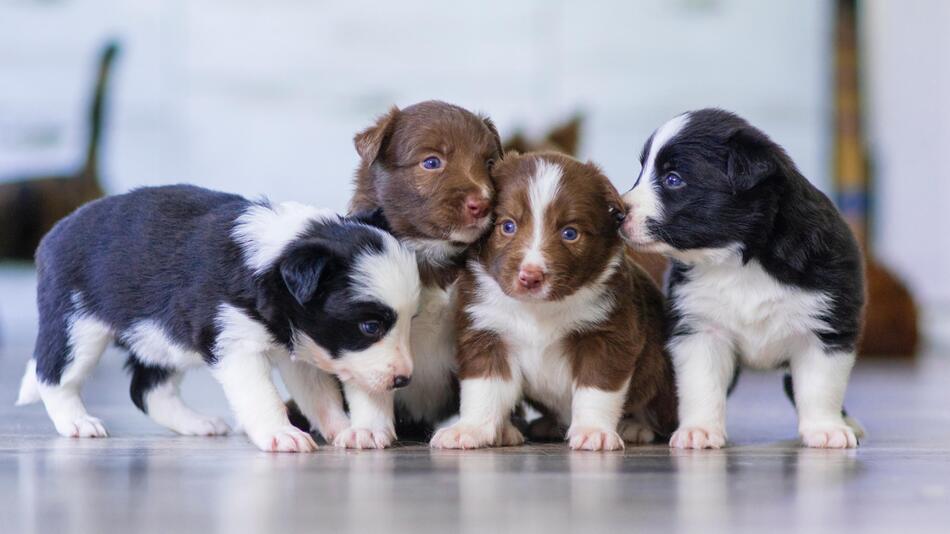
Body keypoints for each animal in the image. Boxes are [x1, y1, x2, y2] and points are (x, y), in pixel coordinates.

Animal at [13, 184, 424, 452]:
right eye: (370, 327)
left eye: (412, 320)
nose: (404, 379)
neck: (274, 260)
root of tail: (55, 232)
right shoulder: (236, 345)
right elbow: (262, 396)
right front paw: (281, 434)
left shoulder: (301, 347)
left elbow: (319, 395)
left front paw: (345, 430)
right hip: (77, 323)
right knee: (54, 375)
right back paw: (77, 422)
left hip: (160, 337)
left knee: (147, 390)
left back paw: (197, 423)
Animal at [428, 154, 680, 452]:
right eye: (508, 226)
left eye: (570, 233)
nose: (530, 277)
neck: (538, 308)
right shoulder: (486, 332)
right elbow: (483, 387)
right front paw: (469, 429)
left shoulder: (607, 334)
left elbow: (596, 389)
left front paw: (593, 431)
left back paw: (635, 427)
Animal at [620, 110, 868, 452]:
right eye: (641, 171)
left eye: (673, 179)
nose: (617, 212)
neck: (738, 260)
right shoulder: (700, 329)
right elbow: (701, 384)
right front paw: (699, 430)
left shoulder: (825, 327)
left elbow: (820, 386)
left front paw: (826, 429)